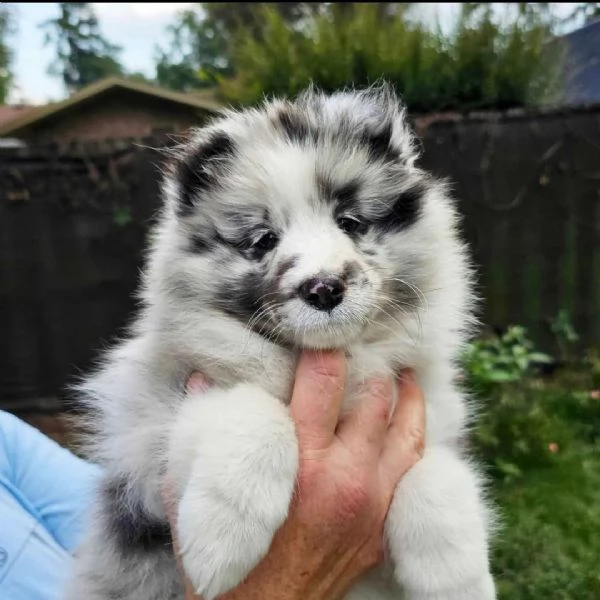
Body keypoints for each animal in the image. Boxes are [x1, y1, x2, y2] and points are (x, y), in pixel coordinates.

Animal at [67, 84, 496, 600]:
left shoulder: (428, 419)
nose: (324, 288)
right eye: (262, 240)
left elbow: (437, 468)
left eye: (350, 222)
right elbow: (254, 408)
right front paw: (221, 535)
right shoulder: (146, 440)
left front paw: (460, 577)